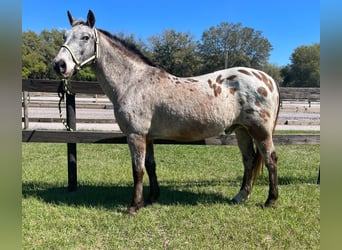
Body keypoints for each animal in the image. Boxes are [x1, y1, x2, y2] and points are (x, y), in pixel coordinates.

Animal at [52, 10, 280, 216]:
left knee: (271, 160)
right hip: (242, 130)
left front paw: (133, 207)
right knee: (249, 160)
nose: (59, 65)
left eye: (85, 37)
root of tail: (267, 79)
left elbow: (137, 170)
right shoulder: (148, 136)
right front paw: (152, 198)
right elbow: (150, 166)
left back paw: (270, 200)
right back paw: (240, 196)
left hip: (260, 132)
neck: (133, 81)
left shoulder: (135, 135)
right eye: (64, 36)